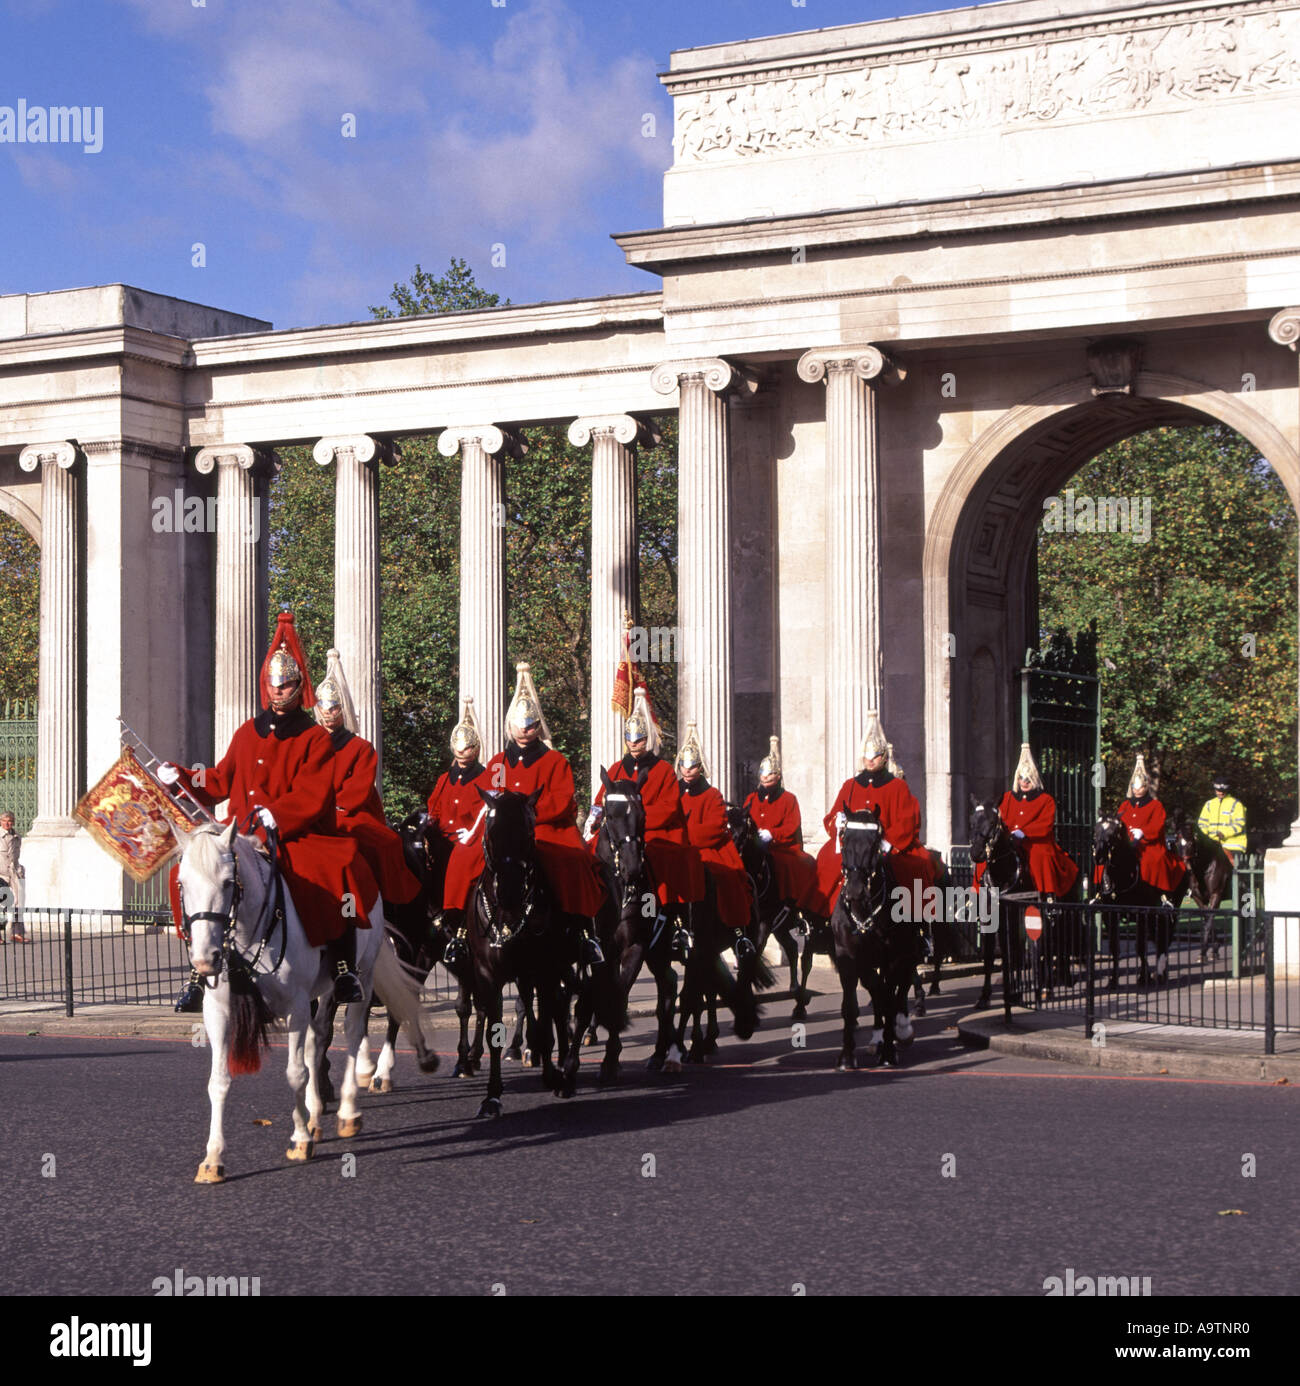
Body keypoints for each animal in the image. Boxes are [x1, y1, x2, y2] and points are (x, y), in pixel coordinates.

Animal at [174, 814, 437, 1186]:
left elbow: (295, 1073)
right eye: (182, 884)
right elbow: (218, 1082)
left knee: (352, 1034)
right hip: (321, 991)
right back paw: (315, 1115)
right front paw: (213, 1158)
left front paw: (298, 1140)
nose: (204, 960)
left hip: (363, 976)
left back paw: (347, 1111)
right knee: (318, 1042)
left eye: (227, 883)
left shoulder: (295, 1007)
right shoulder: (219, 1012)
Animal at [826, 809, 914, 1064]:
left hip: (910, 950)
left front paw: (889, 1051)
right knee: (879, 990)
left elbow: (889, 995)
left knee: (903, 983)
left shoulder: (892, 956)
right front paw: (847, 1056)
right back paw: (878, 1036)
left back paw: (901, 1029)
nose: (855, 890)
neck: (864, 911)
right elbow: (858, 1001)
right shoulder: (848, 956)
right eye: (844, 840)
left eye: (874, 844)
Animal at [1092, 814, 1180, 992]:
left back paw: (1161, 973)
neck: (1122, 877)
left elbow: (1140, 946)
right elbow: (1114, 947)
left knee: (1164, 939)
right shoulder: (1109, 915)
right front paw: (1113, 981)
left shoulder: (1141, 914)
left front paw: (1143, 977)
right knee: (1159, 939)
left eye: (1113, 833)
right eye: (1096, 831)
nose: (1098, 857)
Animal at [1169, 809, 1230, 964]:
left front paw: (1203, 953)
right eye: (1177, 842)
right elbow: (1207, 918)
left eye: (1191, 842)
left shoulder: (1216, 895)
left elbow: (1208, 921)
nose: (1186, 869)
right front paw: (1214, 949)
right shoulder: (1198, 897)